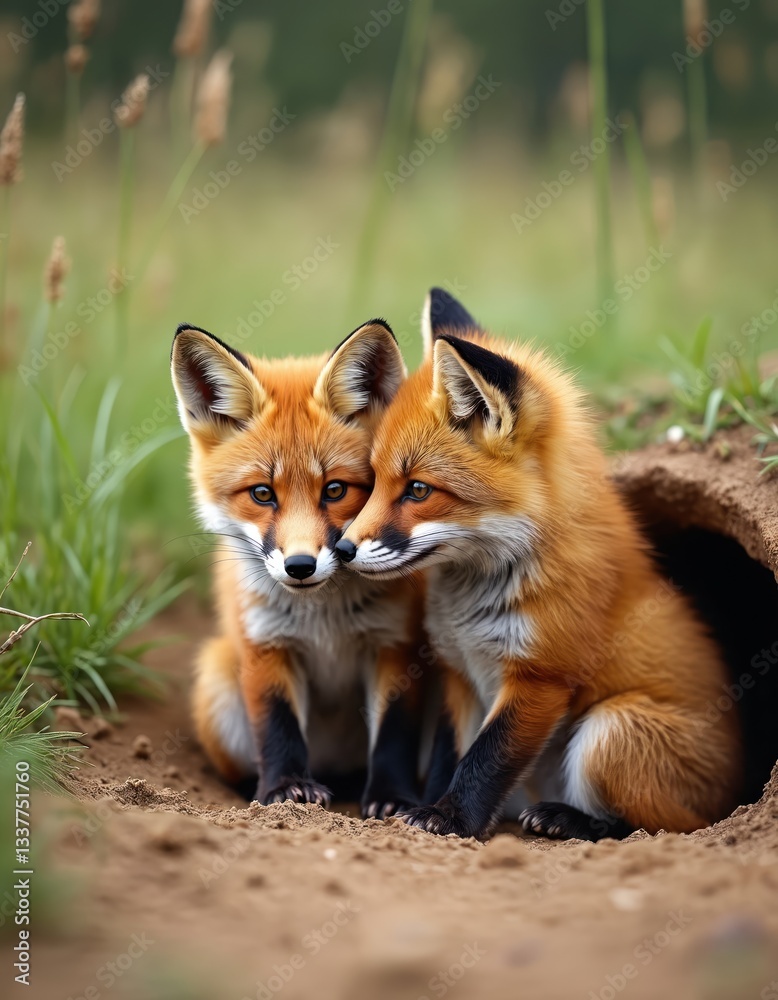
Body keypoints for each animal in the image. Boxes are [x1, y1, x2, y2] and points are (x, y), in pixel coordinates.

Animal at [170, 319, 432, 817]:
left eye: (335, 490)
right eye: (262, 494)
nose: (299, 566)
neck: (323, 617)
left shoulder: (395, 645)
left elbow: (393, 735)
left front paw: (392, 798)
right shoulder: (266, 644)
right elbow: (277, 726)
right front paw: (284, 790)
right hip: (218, 682)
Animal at [334, 287, 742, 841]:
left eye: (417, 490)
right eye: (373, 481)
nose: (342, 550)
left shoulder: (540, 678)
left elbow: (486, 759)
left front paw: (449, 817)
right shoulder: (459, 670)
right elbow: (450, 755)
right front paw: (431, 804)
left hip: (610, 728)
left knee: (664, 825)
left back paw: (572, 818)